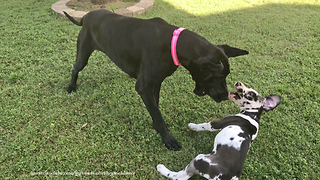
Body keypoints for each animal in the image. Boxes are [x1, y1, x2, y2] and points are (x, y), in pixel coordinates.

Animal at [65, 9, 249, 150]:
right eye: (216, 77)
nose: (225, 96)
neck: (174, 44)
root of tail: (86, 16)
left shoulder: (157, 82)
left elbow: (156, 106)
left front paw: (156, 126)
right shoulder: (144, 87)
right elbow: (157, 113)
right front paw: (168, 138)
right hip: (83, 54)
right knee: (75, 67)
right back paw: (71, 86)